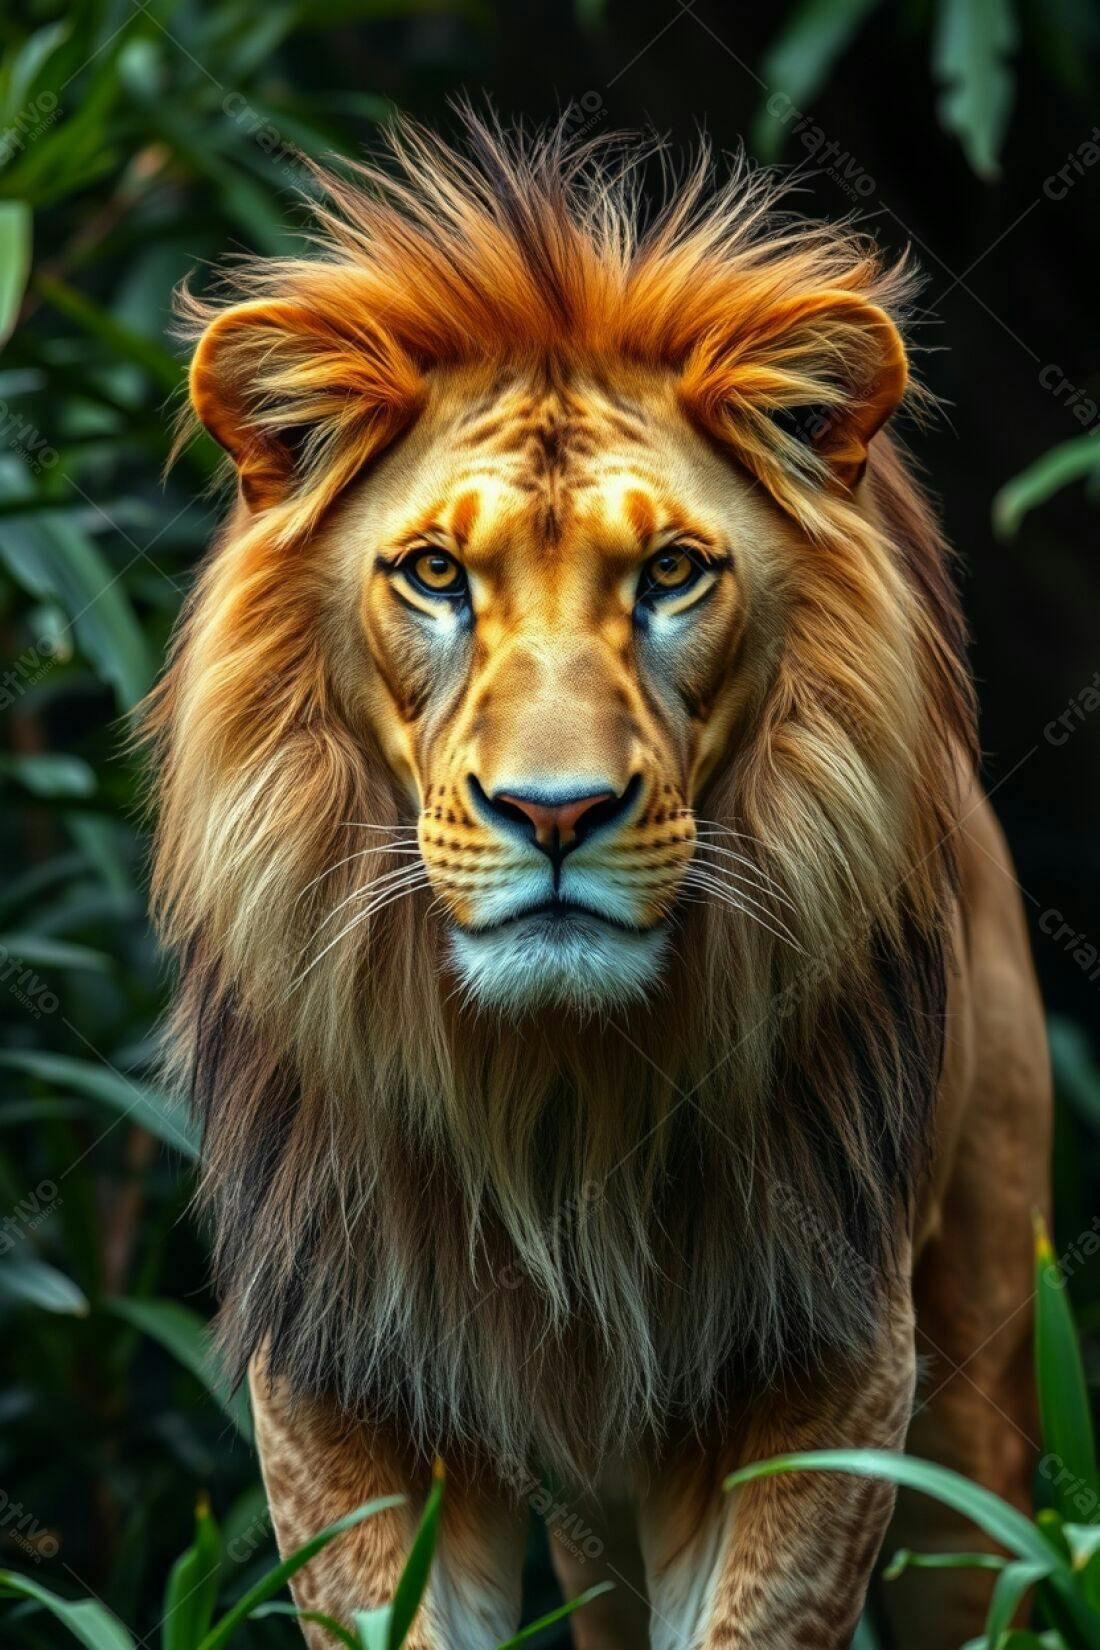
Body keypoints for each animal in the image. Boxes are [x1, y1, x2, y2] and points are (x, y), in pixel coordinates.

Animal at [148, 112, 1050, 1650]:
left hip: (977, 1376)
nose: (554, 812)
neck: (554, 1094)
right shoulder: (344, 1366)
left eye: (675, 572)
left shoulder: (824, 1360)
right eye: (435, 575)